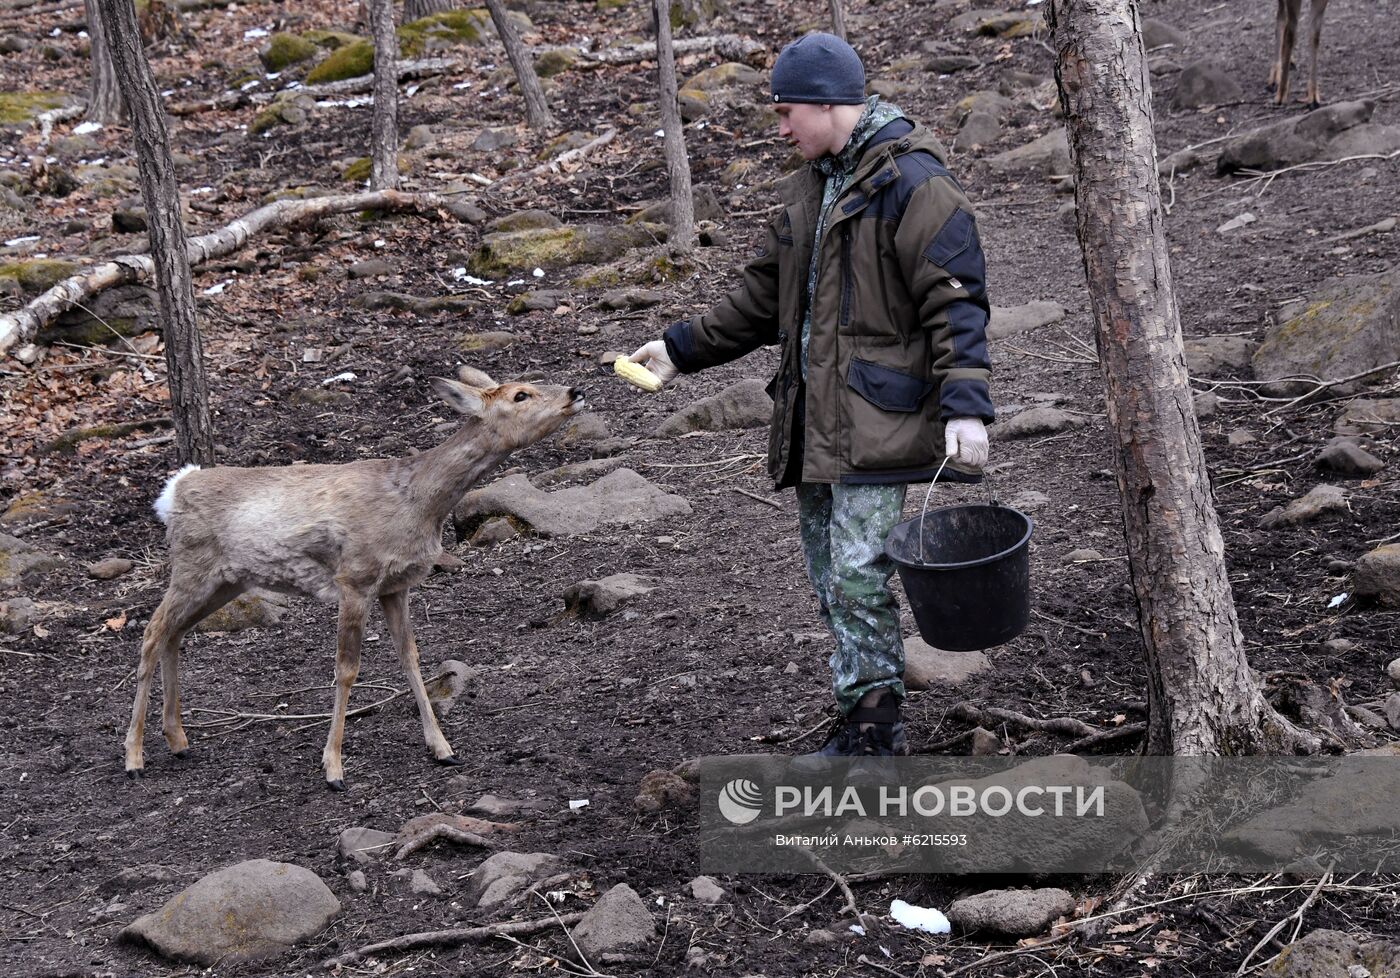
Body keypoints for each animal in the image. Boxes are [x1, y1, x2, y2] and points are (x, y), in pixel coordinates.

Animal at [124, 372, 585, 794]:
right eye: (520, 394)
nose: (575, 391)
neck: (417, 504)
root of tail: (174, 489)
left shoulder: (396, 585)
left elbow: (411, 658)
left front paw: (442, 748)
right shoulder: (355, 578)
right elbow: (346, 670)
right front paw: (333, 768)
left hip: (226, 581)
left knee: (173, 634)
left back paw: (178, 740)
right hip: (192, 565)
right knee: (151, 632)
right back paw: (134, 757)